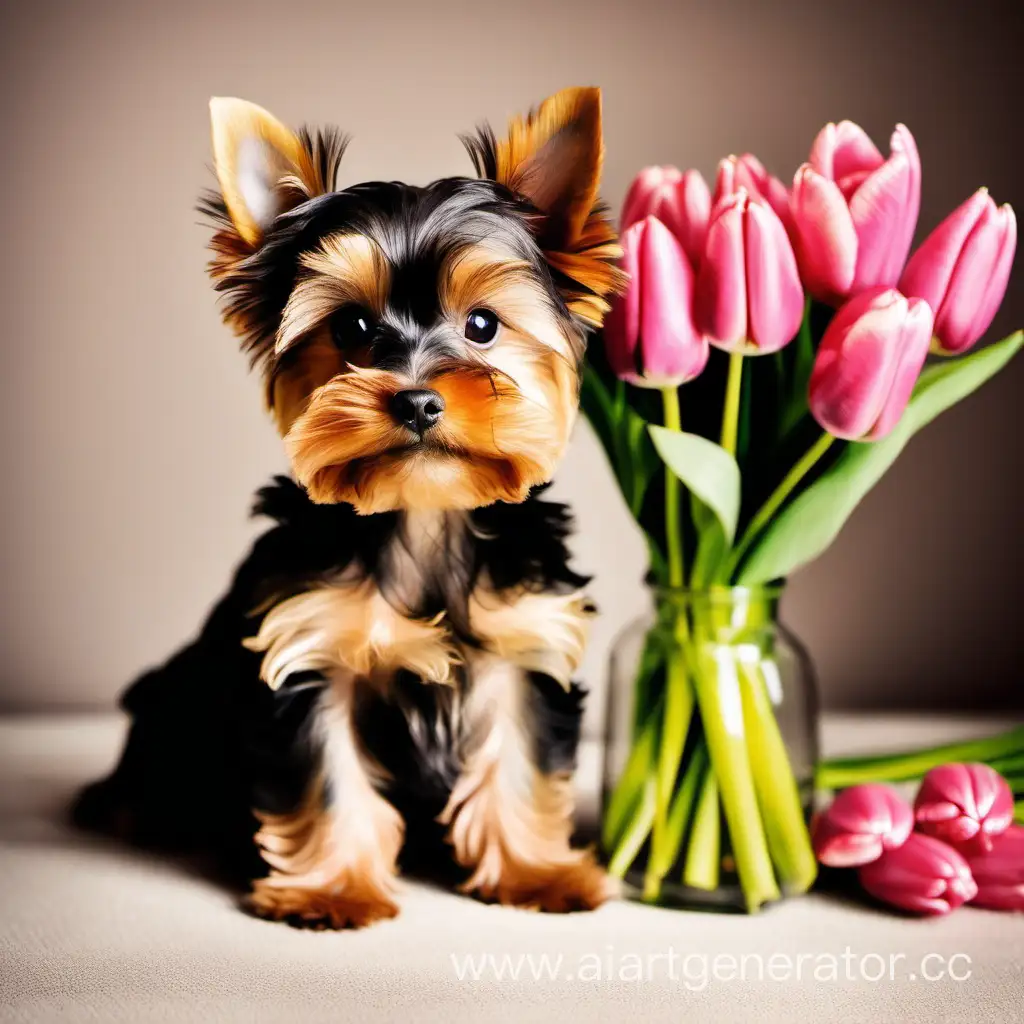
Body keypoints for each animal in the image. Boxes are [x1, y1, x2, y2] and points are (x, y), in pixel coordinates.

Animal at [74, 88, 622, 929]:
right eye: (352, 328)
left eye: (483, 325)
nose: (419, 399)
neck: (424, 509)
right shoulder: (309, 649)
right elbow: (327, 774)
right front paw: (331, 892)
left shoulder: (520, 645)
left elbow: (520, 762)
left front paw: (538, 875)